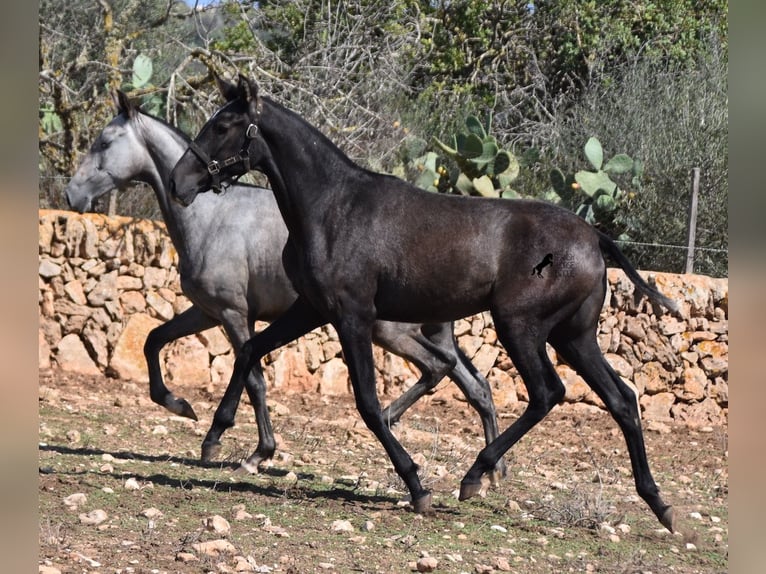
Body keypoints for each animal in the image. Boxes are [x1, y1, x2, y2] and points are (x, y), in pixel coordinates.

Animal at [66, 91, 508, 476]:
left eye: (104, 142)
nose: (72, 194)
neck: (212, 218)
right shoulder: (206, 312)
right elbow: (154, 339)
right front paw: (179, 405)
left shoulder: (234, 314)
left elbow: (254, 379)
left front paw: (245, 449)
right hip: (430, 332)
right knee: (475, 385)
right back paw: (491, 469)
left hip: (390, 331)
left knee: (441, 370)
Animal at [171, 76, 680, 536]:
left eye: (223, 126)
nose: (179, 181)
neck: (332, 208)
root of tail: (595, 238)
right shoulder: (311, 309)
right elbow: (251, 350)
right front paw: (215, 438)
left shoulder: (352, 315)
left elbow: (369, 404)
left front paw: (417, 486)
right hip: (573, 336)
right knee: (622, 399)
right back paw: (661, 506)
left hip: (521, 327)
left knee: (547, 392)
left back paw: (474, 477)